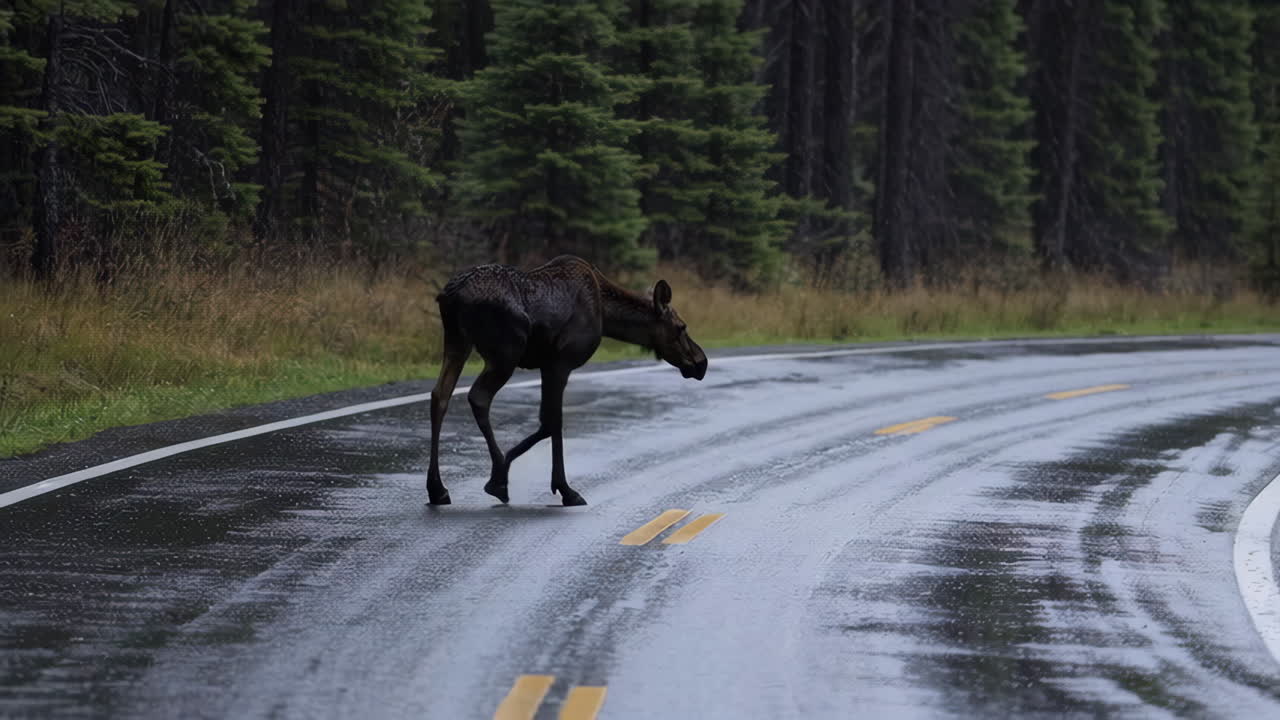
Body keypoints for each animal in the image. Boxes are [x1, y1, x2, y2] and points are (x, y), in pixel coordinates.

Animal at [426, 255, 708, 507]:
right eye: (681, 327)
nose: (701, 362)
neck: (606, 315)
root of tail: (450, 296)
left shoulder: (546, 366)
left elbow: (546, 422)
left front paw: (511, 465)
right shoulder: (561, 362)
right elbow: (555, 421)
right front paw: (565, 489)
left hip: (457, 342)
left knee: (440, 395)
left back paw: (438, 489)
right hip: (506, 352)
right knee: (478, 397)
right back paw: (498, 480)